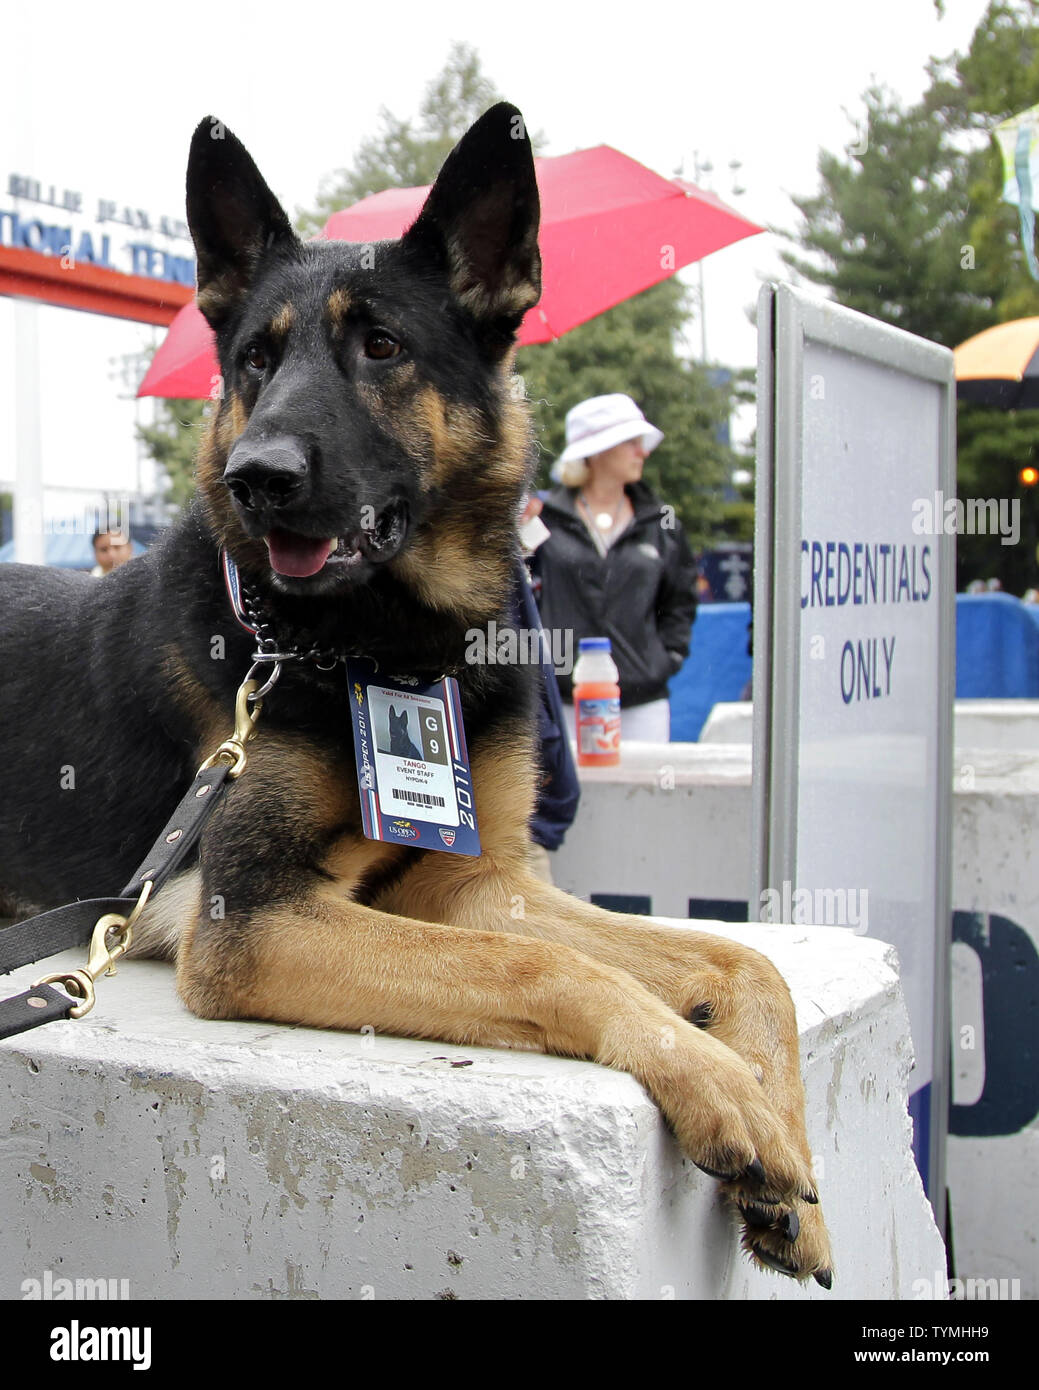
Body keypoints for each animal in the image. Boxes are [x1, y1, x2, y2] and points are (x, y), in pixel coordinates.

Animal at [0, 102, 834, 1284]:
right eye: (255, 360)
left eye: (381, 346)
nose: (256, 478)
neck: (377, 643)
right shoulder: (254, 920)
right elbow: (539, 965)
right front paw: (723, 1089)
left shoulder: (470, 884)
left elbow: (739, 957)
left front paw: (780, 1138)